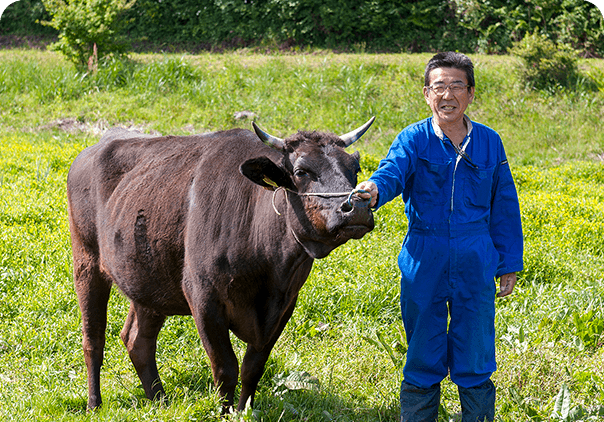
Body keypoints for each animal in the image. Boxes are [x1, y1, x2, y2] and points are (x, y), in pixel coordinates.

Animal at [68, 118, 376, 412]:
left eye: (355, 169)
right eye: (301, 171)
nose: (358, 206)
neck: (270, 271)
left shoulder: (284, 305)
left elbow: (253, 368)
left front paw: (243, 411)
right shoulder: (204, 298)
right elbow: (225, 368)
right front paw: (225, 412)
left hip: (149, 279)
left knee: (137, 340)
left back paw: (159, 401)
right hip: (86, 262)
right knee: (93, 339)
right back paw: (94, 404)